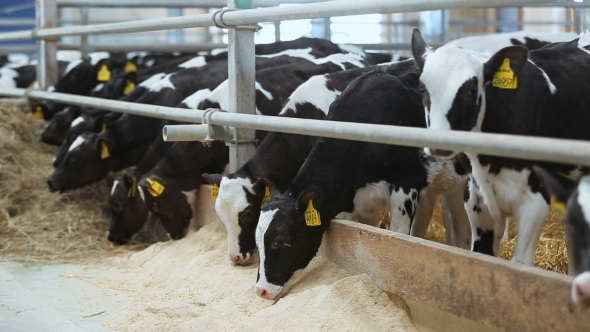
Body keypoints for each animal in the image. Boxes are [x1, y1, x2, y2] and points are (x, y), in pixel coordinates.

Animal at [254, 71, 472, 300]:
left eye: (278, 240)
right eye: (257, 240)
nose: (261, 290)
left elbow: (399, 237)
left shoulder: (407, 185)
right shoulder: (356, 201)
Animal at [412, 28, 590, 264]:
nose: (439, 143)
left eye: (471, 89)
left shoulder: (534, 200)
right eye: (423, 90)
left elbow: (520, 263)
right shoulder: (477, 199)